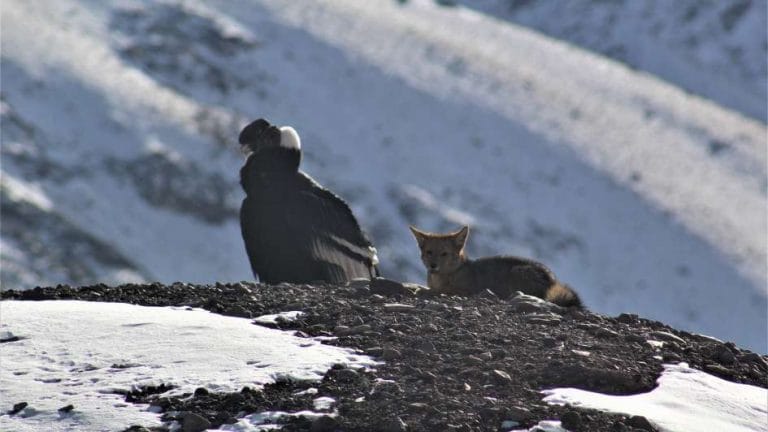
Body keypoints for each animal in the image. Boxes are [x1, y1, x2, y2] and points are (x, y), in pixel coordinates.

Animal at [409, 225, 582, 308]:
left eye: (444, 253)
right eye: (429, 252)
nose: (433, 266)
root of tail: (552, 279)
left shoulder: (466, 291)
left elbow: (441, 290)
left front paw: (423, 291)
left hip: (516, 271)